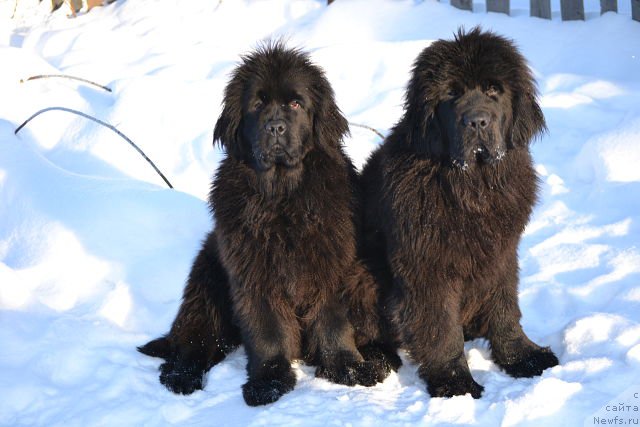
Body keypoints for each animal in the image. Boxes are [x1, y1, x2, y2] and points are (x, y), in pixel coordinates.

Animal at [141, 43, 398, 408]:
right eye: (258, 104)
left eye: (296, 103)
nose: (275, 128)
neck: (281, 197)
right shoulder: (254, 273)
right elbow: (267, 330)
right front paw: (269, 381)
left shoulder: (330, 265)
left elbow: (333, 321)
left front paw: (348, 368)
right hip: (207, 283)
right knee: (195, 341)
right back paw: (181, 376)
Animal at [362, 28, 556, 400]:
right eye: (451, 94)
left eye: (494, 90)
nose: (477, 121)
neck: (472, 187)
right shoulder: (427, 266)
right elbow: (439, 326)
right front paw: (454, 381)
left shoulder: (501, 252)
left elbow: (506, 307)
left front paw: (522, 355)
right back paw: (374, 358)